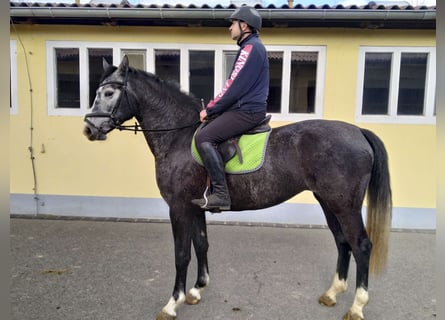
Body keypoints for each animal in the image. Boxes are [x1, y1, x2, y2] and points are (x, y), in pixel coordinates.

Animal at [82, 55, 388, 320]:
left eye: (109, 93)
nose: (89, 129)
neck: (179, 137)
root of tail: (357, 131)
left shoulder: (178, 207)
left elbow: (181, 254)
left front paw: (172, 303)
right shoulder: (195, 207)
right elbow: (201, 244)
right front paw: (196, 289)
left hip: (344, 206)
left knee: (361, 245)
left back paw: (357, 306)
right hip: (328, 202)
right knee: (342, 242)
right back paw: (333, 293)